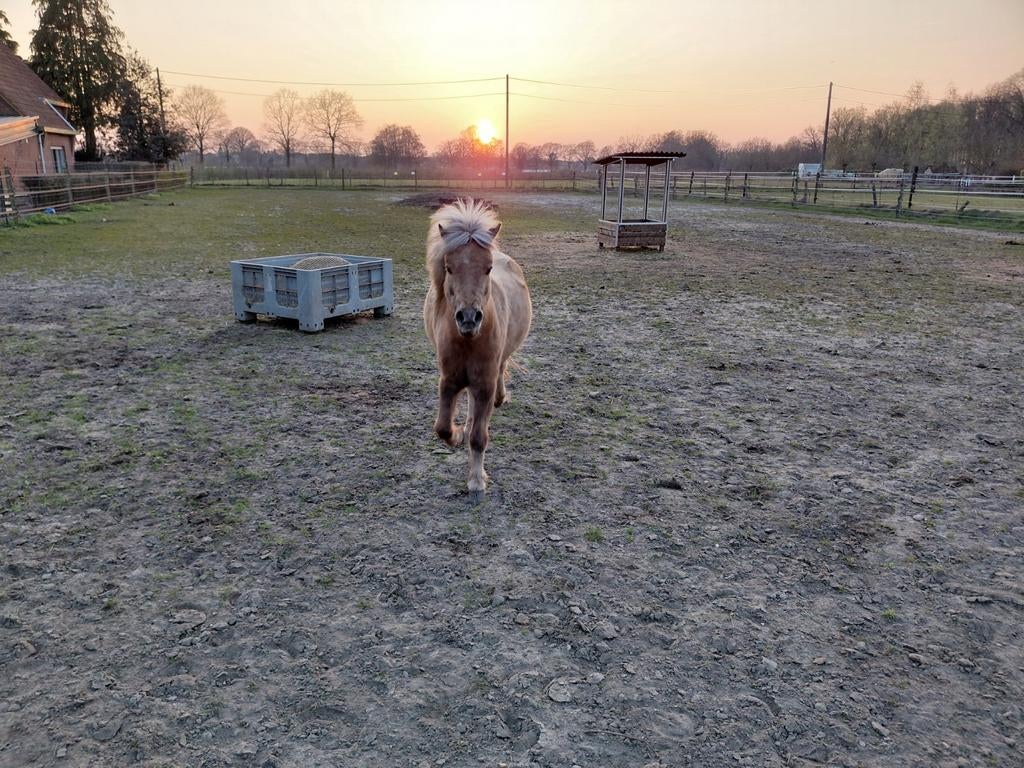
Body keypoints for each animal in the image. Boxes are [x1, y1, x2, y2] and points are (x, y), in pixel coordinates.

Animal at [423, 198, 532, 497]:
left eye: (488, 268)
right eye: (449, 268)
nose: (469, 318)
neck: (468, 341)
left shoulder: (484, 383)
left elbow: (479, 438)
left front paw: (476, 480)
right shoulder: (448, 381)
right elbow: (442, 428)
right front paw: (458, 433)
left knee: (501, 372)